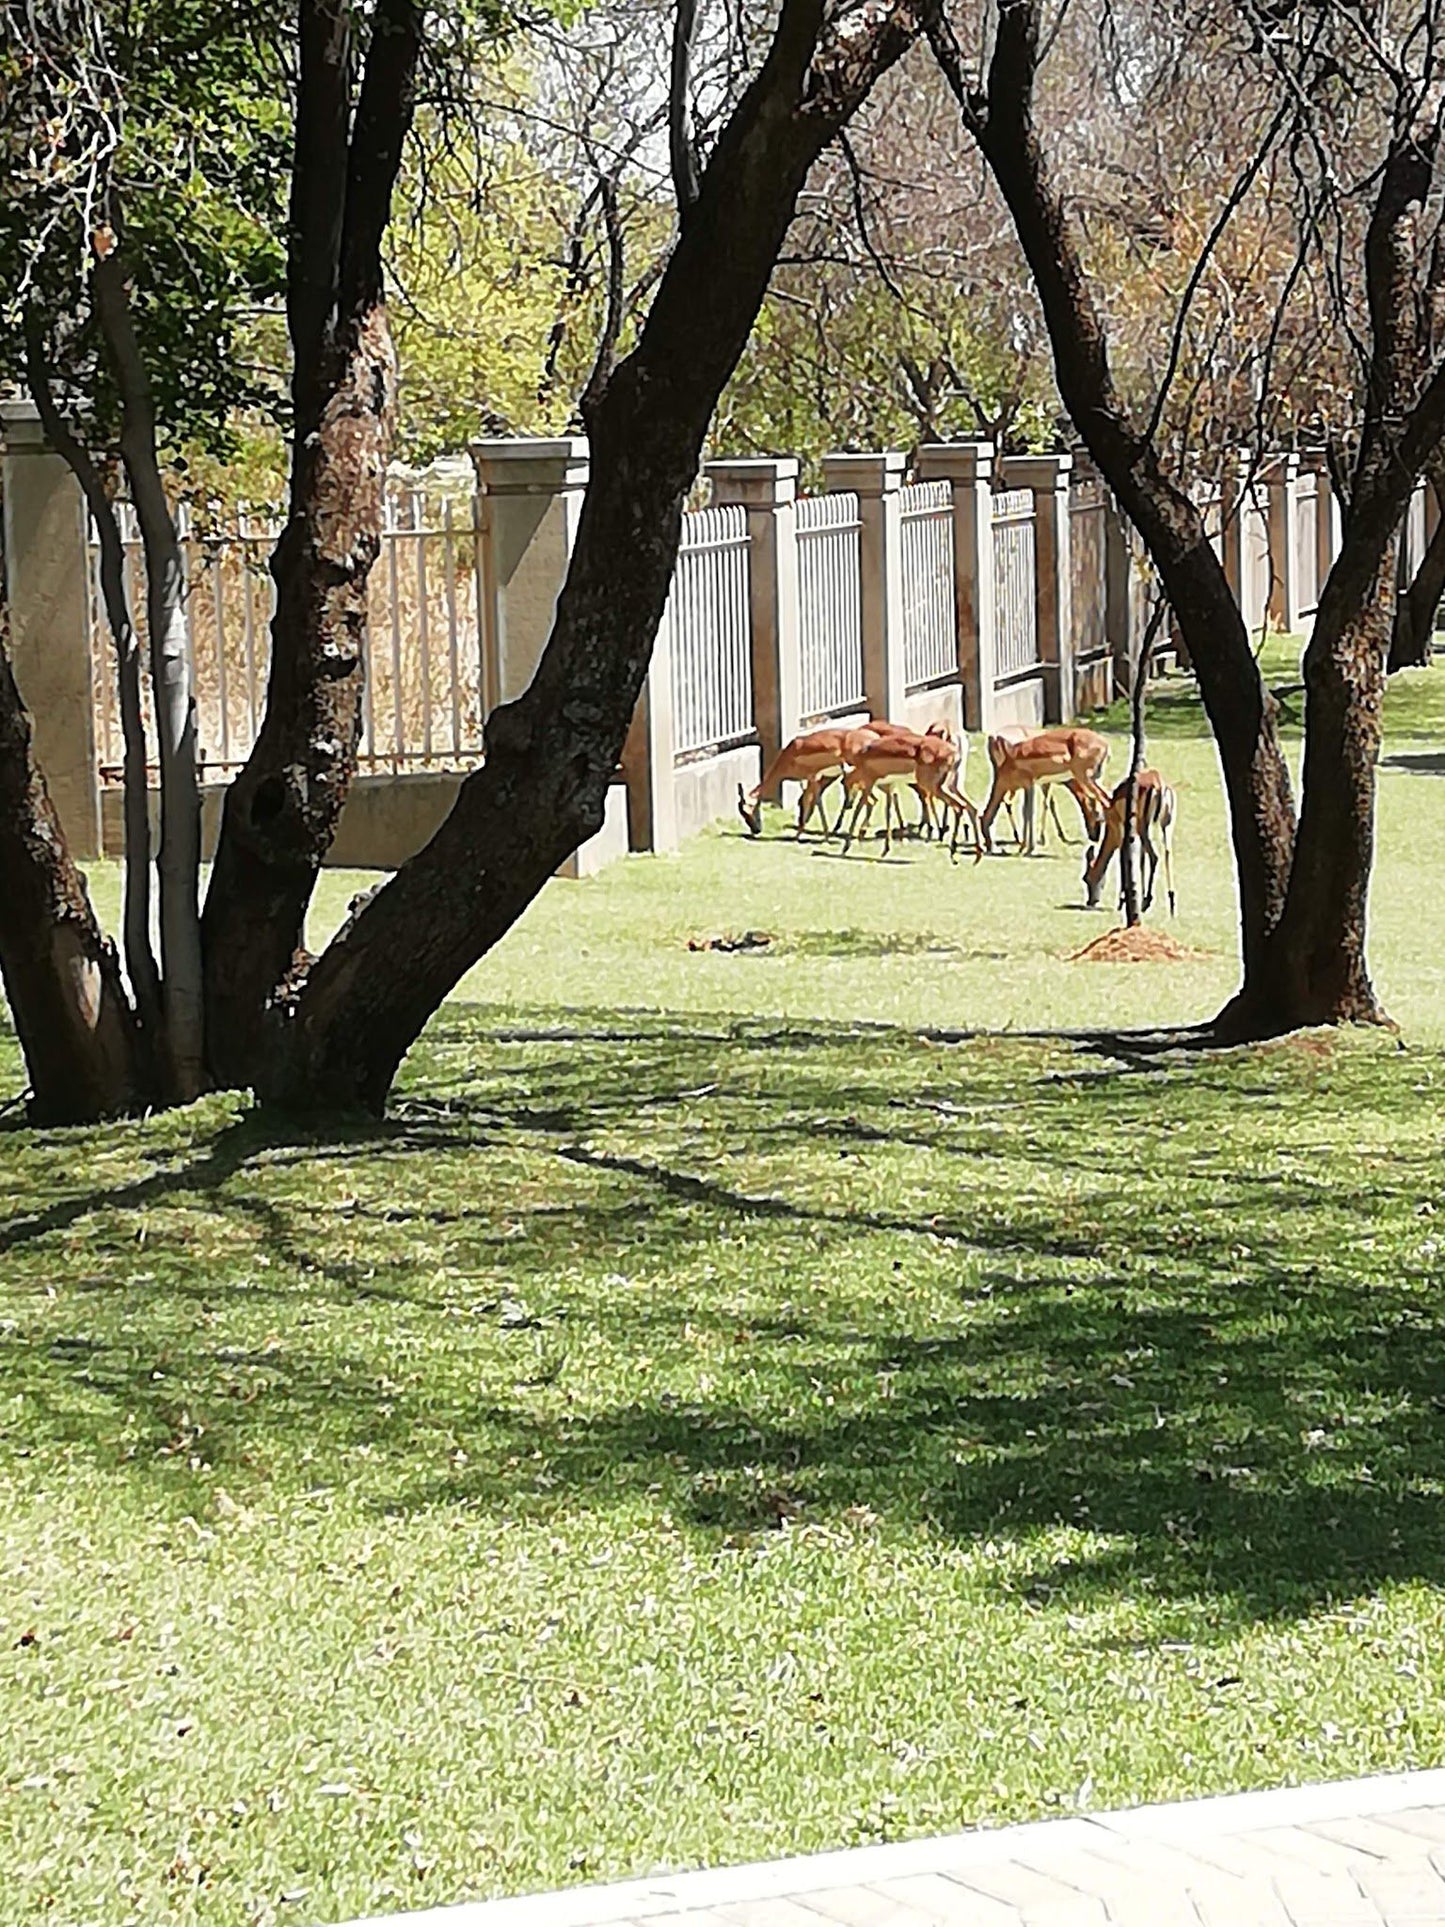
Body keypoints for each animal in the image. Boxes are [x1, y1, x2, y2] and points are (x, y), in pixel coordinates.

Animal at [978, 724, 1117, 855]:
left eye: (982, 824)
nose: (989, 848)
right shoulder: (1034, 785)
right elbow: (1033, 810)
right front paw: (1029, 847)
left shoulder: (1031, 784)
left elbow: (1031, 812)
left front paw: (1028, 847)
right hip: (1093, 778)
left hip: (1085, 777)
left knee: (1105, 800)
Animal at [1078, 770, 1179, 913]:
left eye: (1086, 878)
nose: (1090, 902)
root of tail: (1159, 784)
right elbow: (1141, 862)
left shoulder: (1121, 834)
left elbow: (1123, 860)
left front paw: (1121, 901)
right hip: (1165, 826)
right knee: (1167, 854)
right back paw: (1170, 903)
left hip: (1144, 827)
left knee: (1154, 857)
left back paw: (1147, 902)